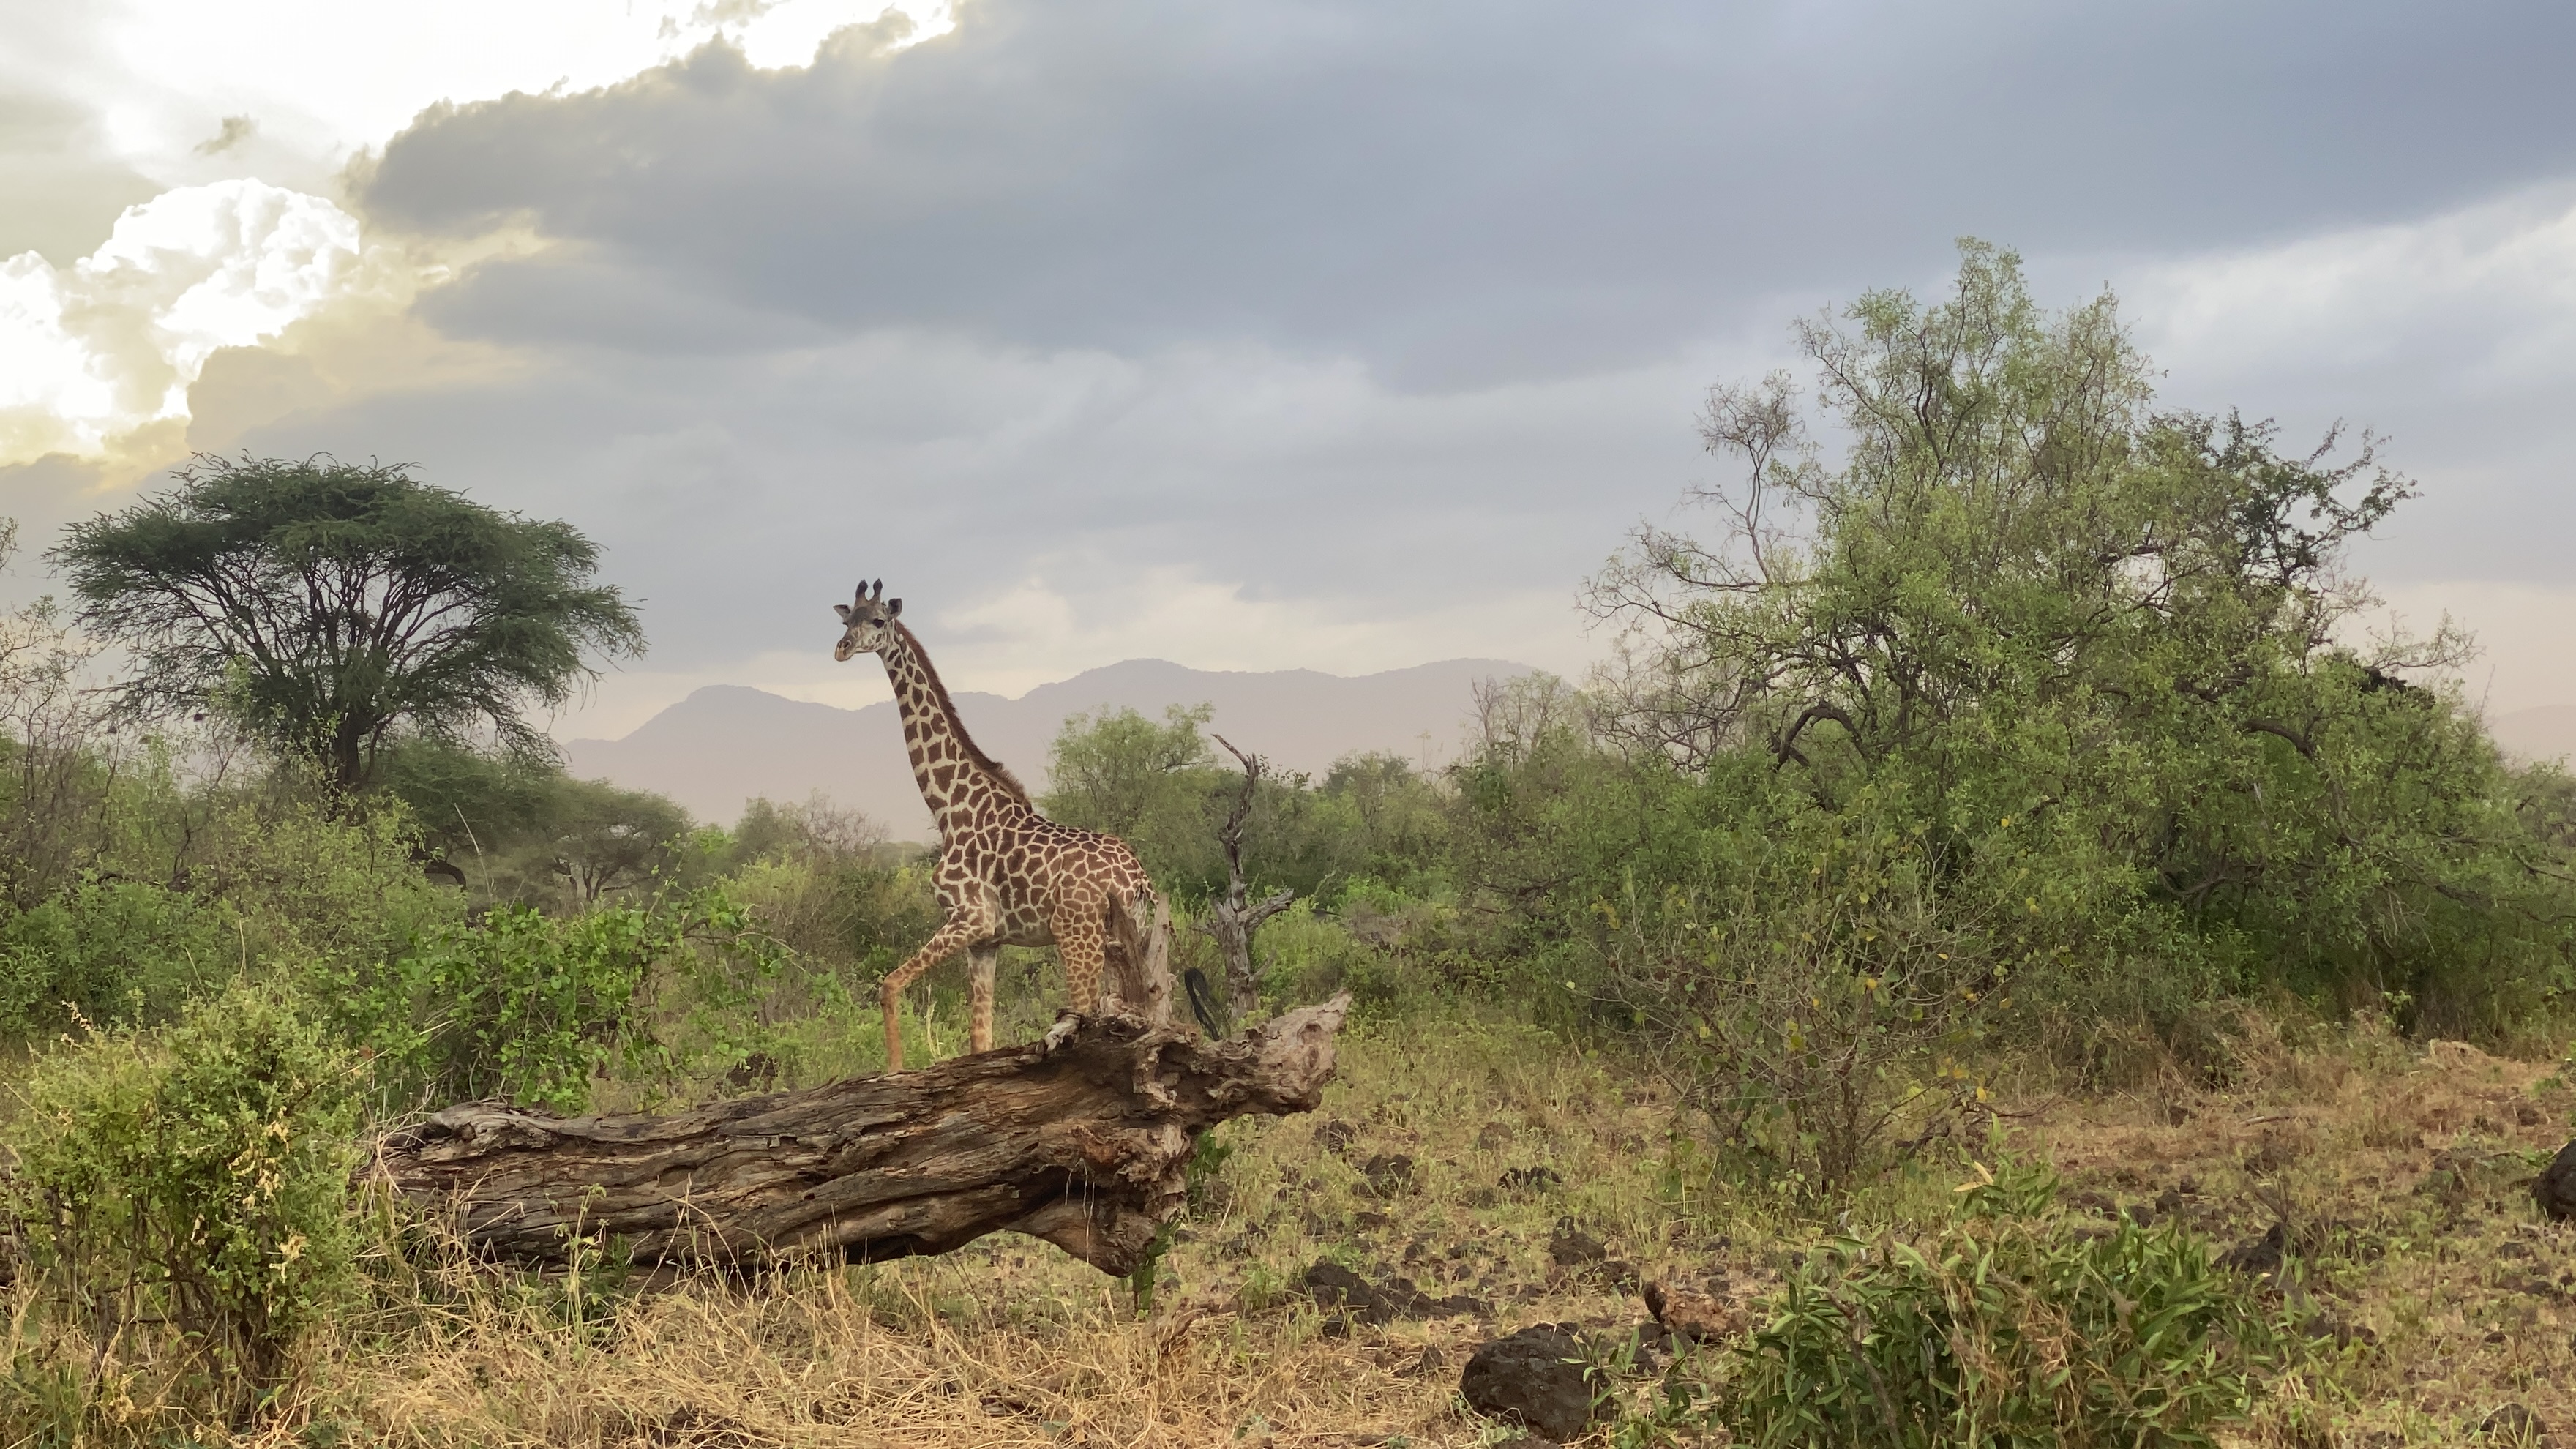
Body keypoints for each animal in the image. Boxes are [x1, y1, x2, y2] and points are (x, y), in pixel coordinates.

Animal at [832, 579, 1161, 1072]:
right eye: (844, 620)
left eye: (877, 620)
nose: (843, 648)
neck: (951, 809)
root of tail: (1136, 878)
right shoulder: (985, 941)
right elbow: (979, 1040)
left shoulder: (969, 918)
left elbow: (889, 984)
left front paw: (893, 1071)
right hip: (1127, 937)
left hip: (1077, 934)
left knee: (1087, 1013)